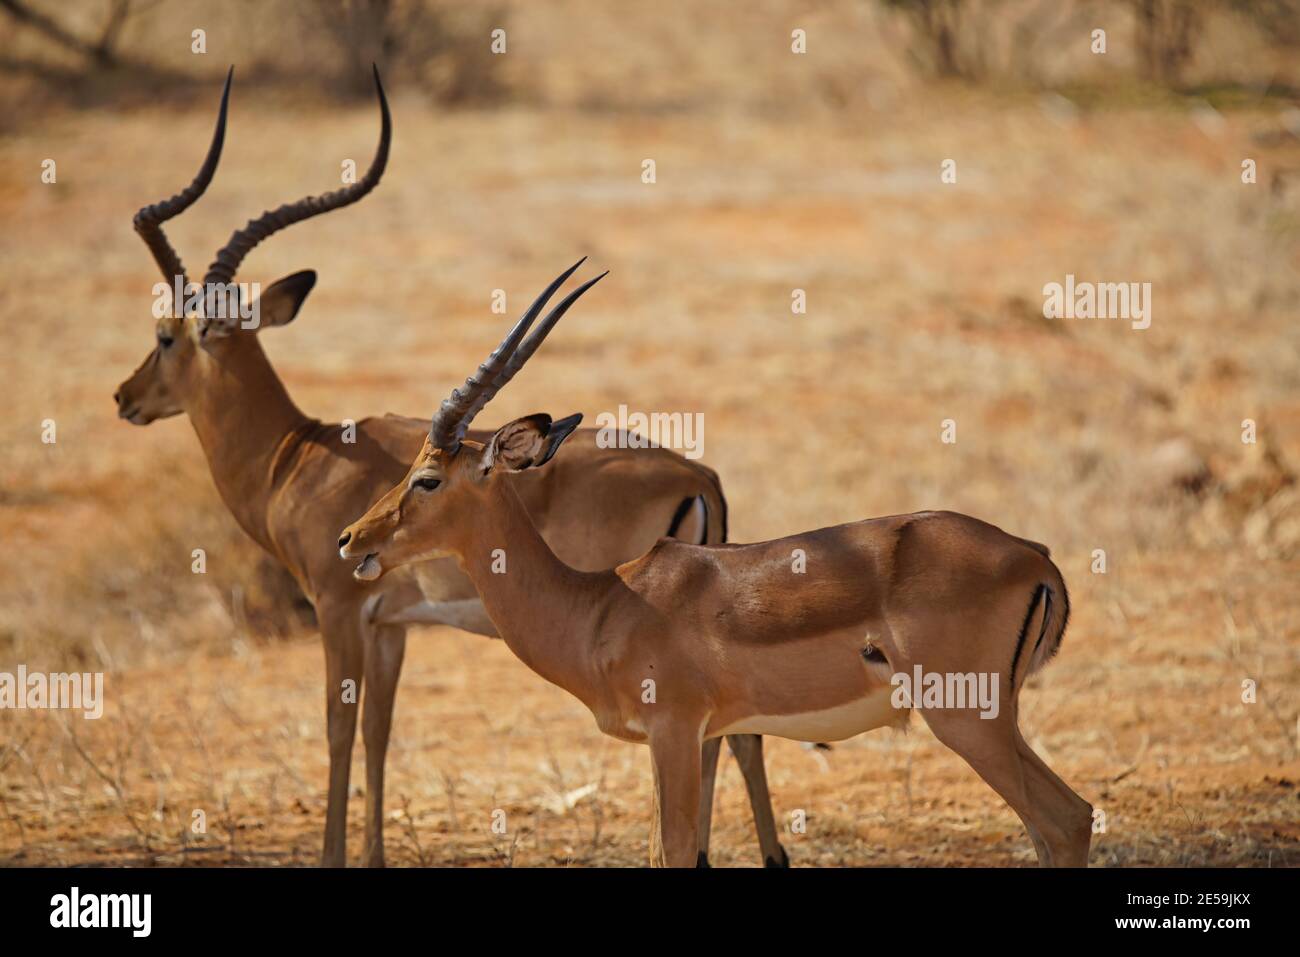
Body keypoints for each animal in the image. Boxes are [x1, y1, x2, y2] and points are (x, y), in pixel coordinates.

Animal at [113, 69, 786, 867]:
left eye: (165, 334)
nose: (124, 396)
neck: (298, 455)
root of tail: (698, 475)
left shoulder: (339, 607)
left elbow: (339, 731)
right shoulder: (393, 624)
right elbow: (378, 732)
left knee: (729, 736)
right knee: (736, 733)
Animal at [339, 267, 1096, 868]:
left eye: (427, 479)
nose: (352, 539)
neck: (603, 607)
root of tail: (1035, 557)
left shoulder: (675, 732)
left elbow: (673, 851)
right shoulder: (692, 739)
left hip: (969, 719)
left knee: (1066, 821)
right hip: (993, 721)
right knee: (1061, 823)